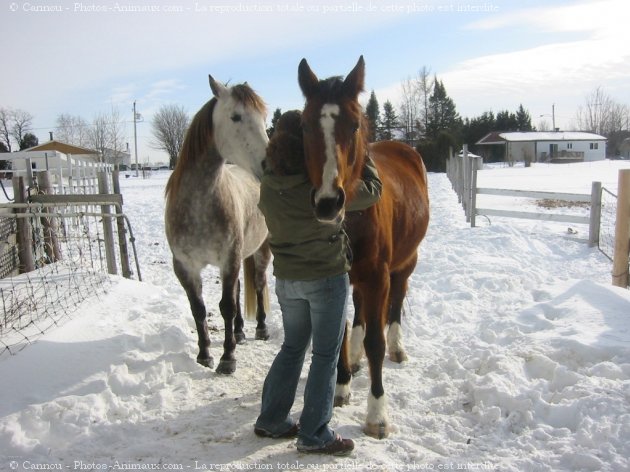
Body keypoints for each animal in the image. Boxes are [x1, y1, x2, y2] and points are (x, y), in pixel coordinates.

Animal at [298, 56, 432, 438]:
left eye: (355, 125)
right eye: (305, 126)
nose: (328, 202)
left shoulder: (378, 276)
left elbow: (376, 340)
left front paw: (377, 414)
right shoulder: (335, 278)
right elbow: (339, 333)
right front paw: (341, 386)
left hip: (404, 264)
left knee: (396, 303)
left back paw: (398, 347)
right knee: (359, 310)